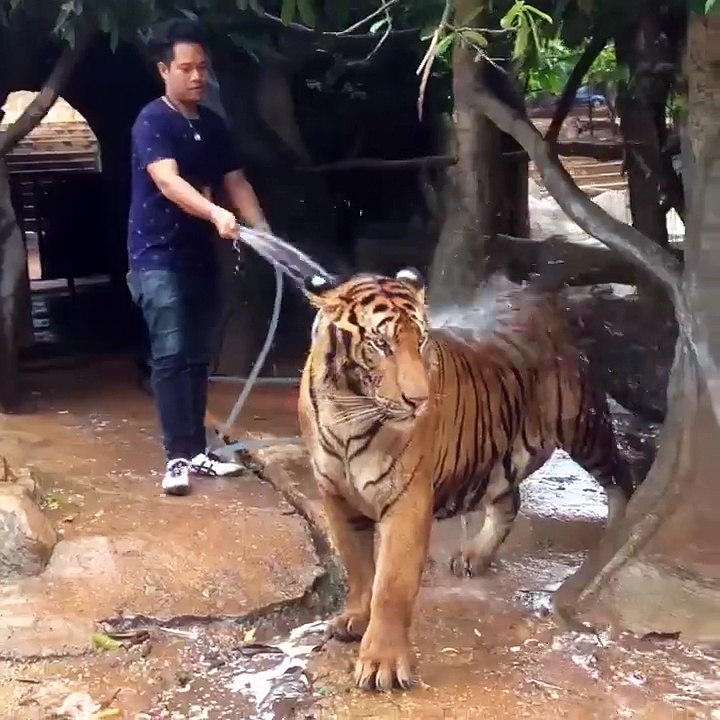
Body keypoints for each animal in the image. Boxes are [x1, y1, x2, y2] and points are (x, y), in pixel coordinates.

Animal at [297, 267, 634, 693]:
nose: (419, 401)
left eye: (420, 341)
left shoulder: (406, 499)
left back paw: (617, 531)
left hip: (583, 425)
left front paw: (382, 664)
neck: (348, 410)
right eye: (380, 344)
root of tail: (536, 292)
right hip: (502, 453)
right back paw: (475, 555)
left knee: (621, 476)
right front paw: (355, 618)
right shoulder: (336, 496)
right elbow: (358, 568)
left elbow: (390, 585)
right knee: (509, 500)